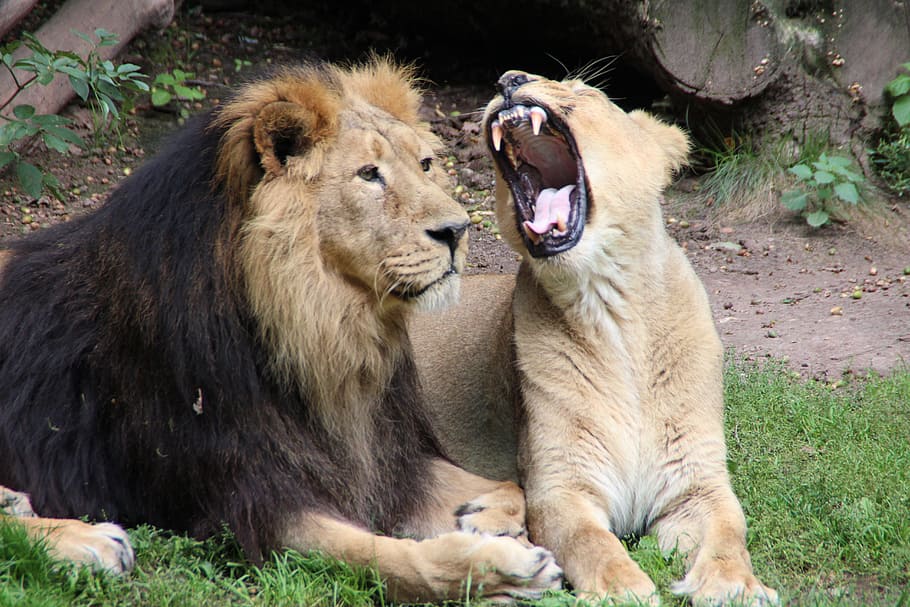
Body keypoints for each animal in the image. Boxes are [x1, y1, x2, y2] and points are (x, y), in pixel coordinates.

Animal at [0, 59, 563, 603]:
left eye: (424, 164)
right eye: (368, 174)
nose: (458, 231)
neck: (329, 328)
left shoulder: (389, 458)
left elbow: (511, 486)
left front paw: (485, 520)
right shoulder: (251, 499)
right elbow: (384, 557)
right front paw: (500, 567)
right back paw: (88, 542)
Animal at [411, 70, 778, 605]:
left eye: (585, 91)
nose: (508, 79)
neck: (612, 310)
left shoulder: (696, 480)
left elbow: (731, 530)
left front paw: (734, 585)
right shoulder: (561, 484)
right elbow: (591, 542)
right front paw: (623, 588)